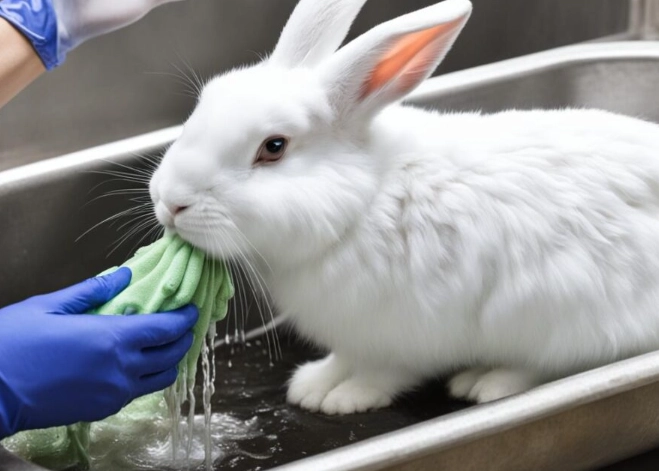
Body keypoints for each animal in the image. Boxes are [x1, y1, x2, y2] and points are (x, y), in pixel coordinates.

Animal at [149, 0, 659, 415]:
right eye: (205, 100)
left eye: (273, 147)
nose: (169, 201)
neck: (362, 204)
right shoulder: (353, 340)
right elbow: (342, 360)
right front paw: (312, 386)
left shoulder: (404, 340)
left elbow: (385, 374)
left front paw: (343, 400)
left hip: (564, 320)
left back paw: (487, 383)